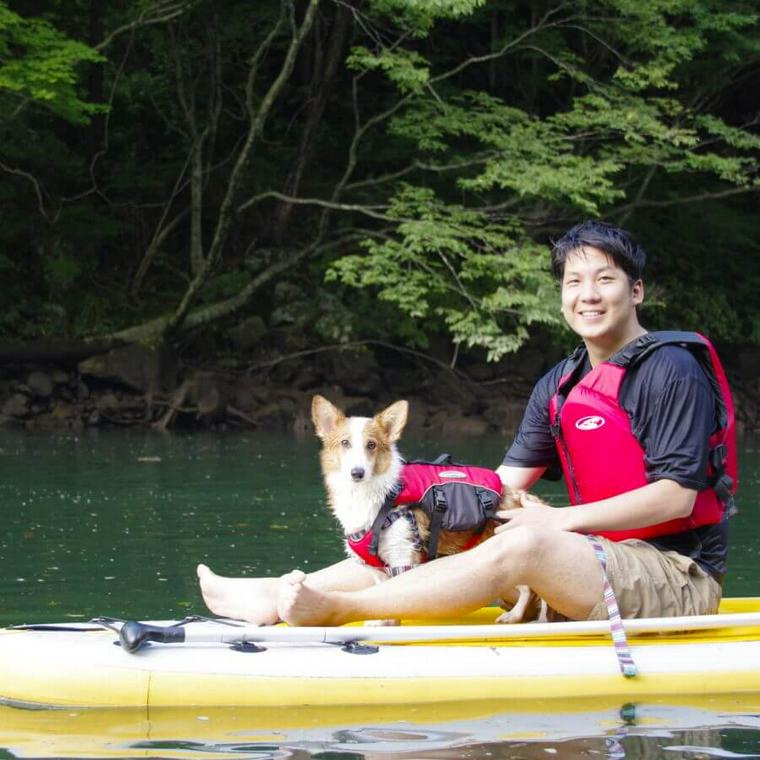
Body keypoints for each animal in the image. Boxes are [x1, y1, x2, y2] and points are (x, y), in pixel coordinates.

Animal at [310, 394, 540, 628]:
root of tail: (517, 495)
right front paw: (380, 623)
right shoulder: (378, 570)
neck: (371, 497)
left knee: (529, 589)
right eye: (345, 443)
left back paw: (516, 616)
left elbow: (393, 600)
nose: (357, 473)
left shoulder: (402, 559)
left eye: (371, 445)